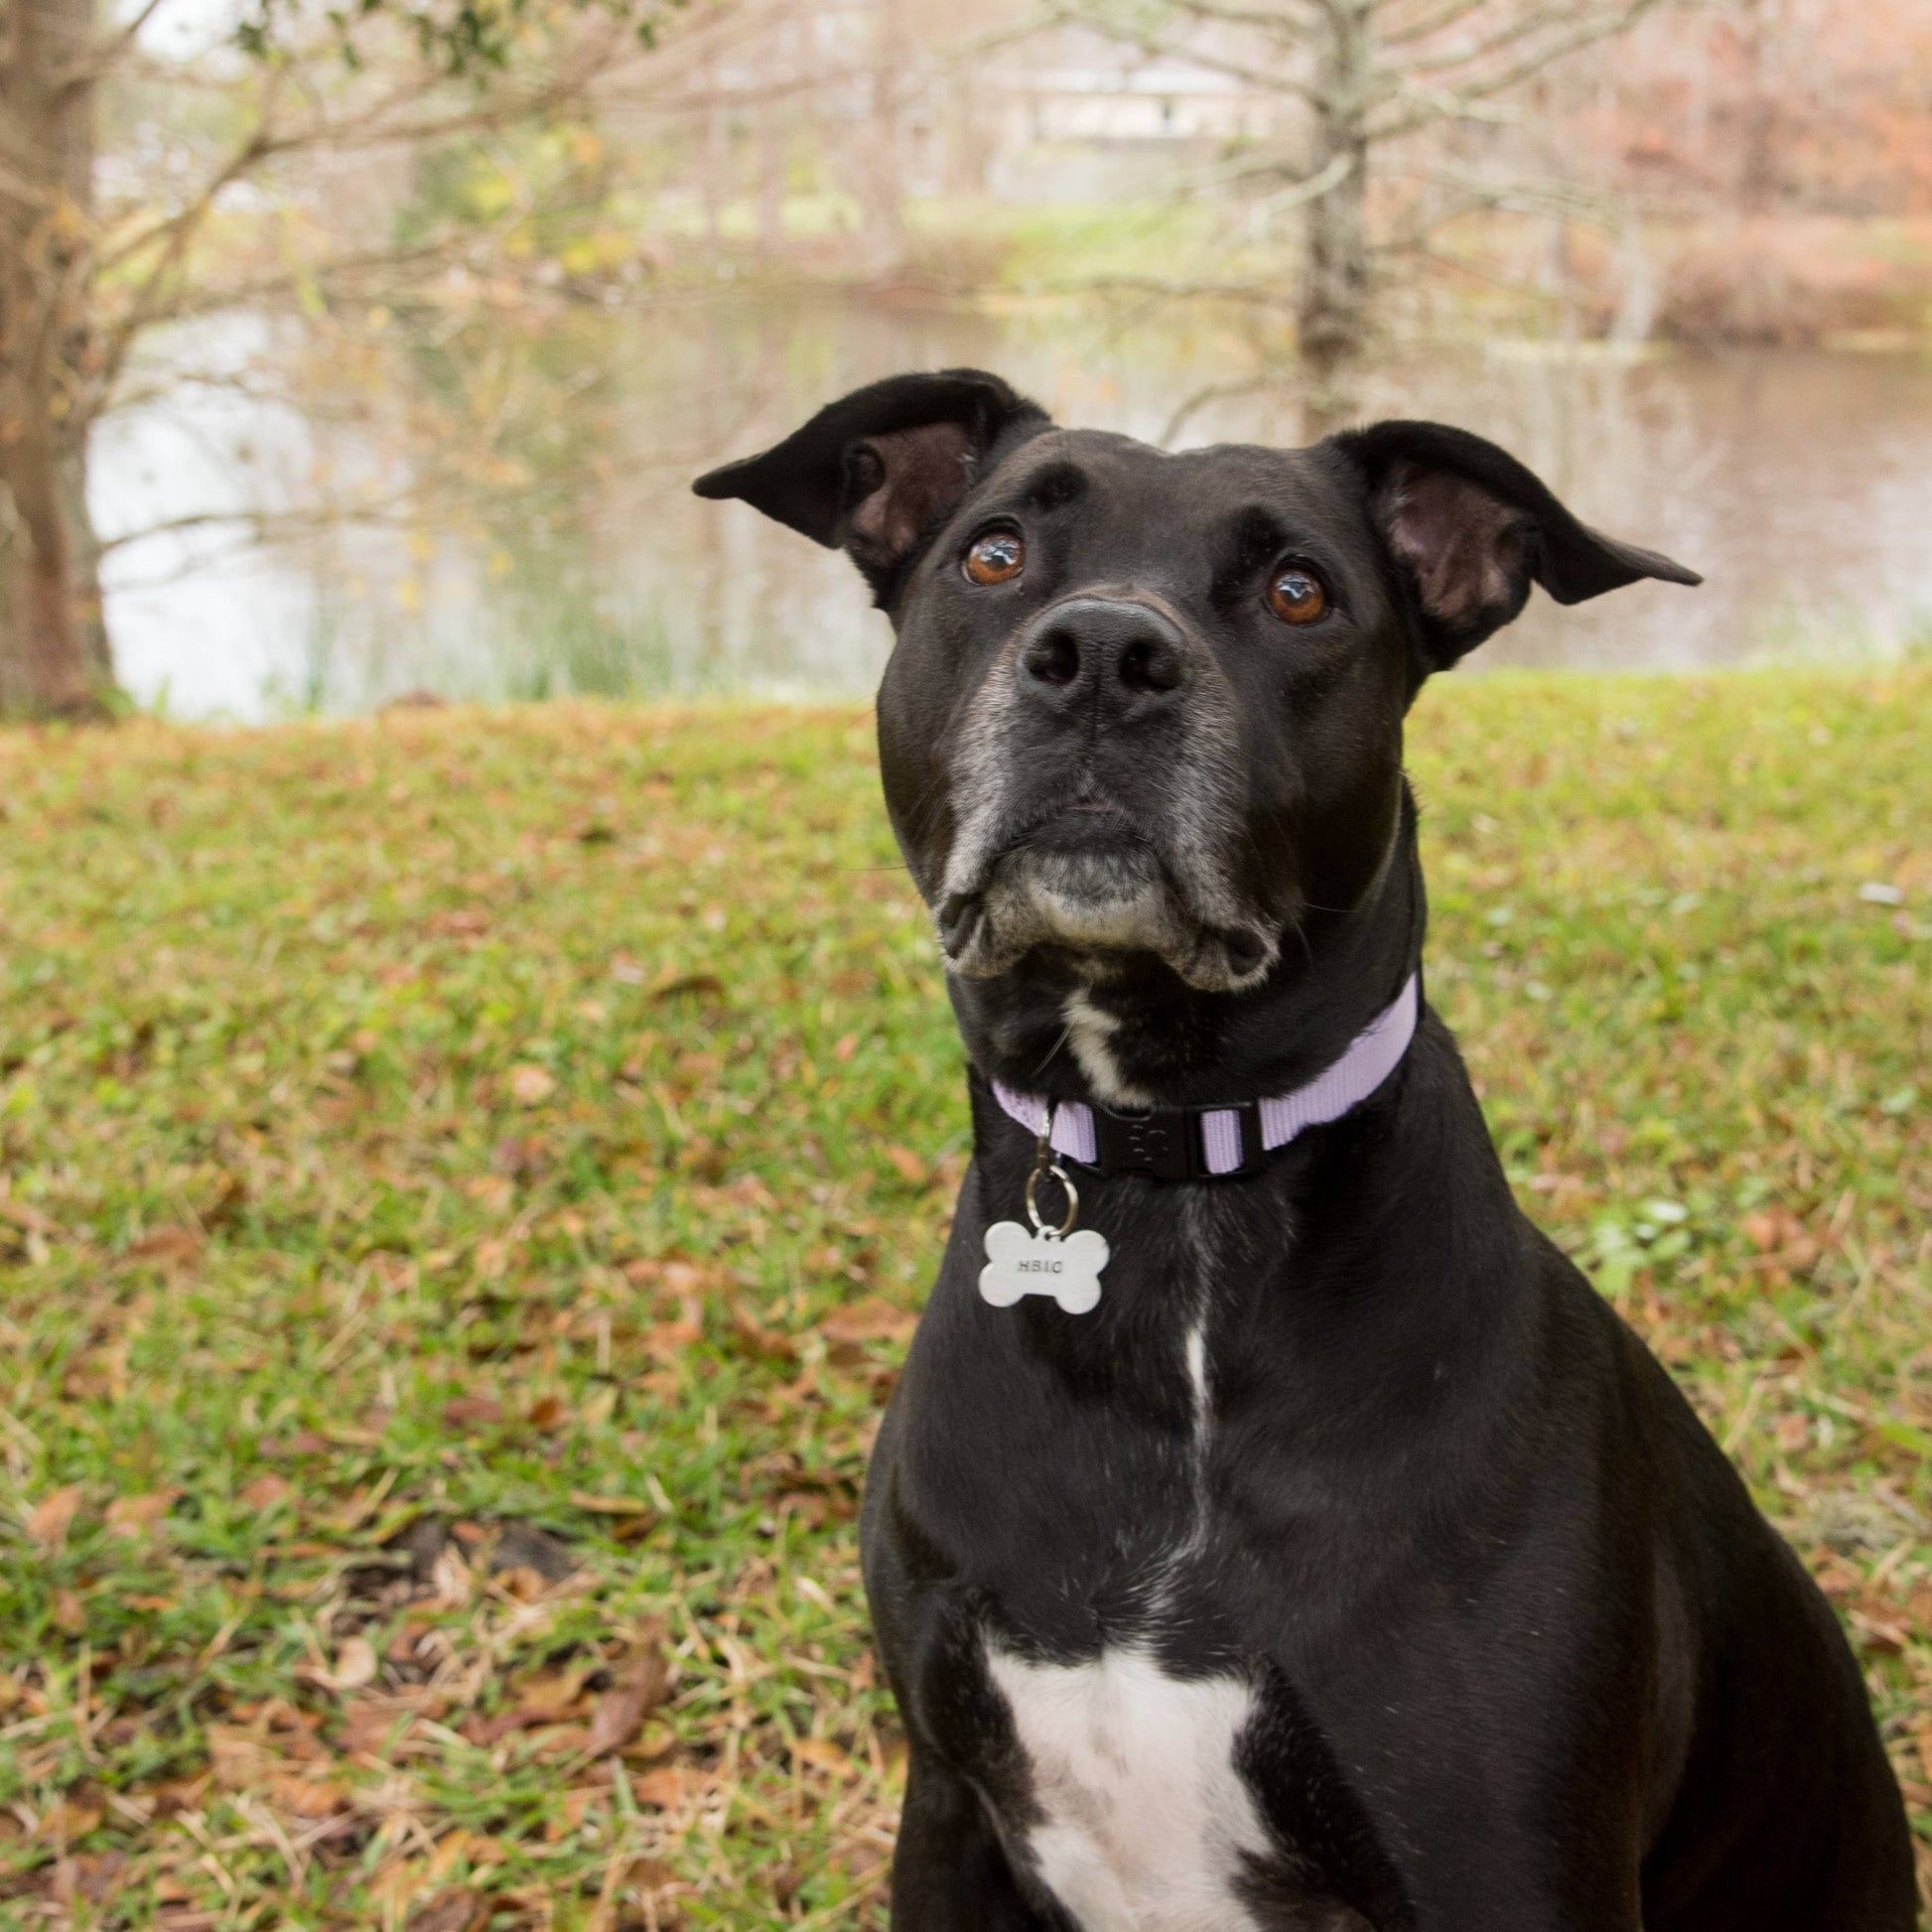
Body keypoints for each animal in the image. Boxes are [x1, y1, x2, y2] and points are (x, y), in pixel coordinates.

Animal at [699, 376, 1916, 1932]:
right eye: (992, 553)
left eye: (1296, 591)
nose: (1104, 656)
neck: (1166, 1187)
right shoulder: (952, 1808)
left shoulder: (1502, 1863)